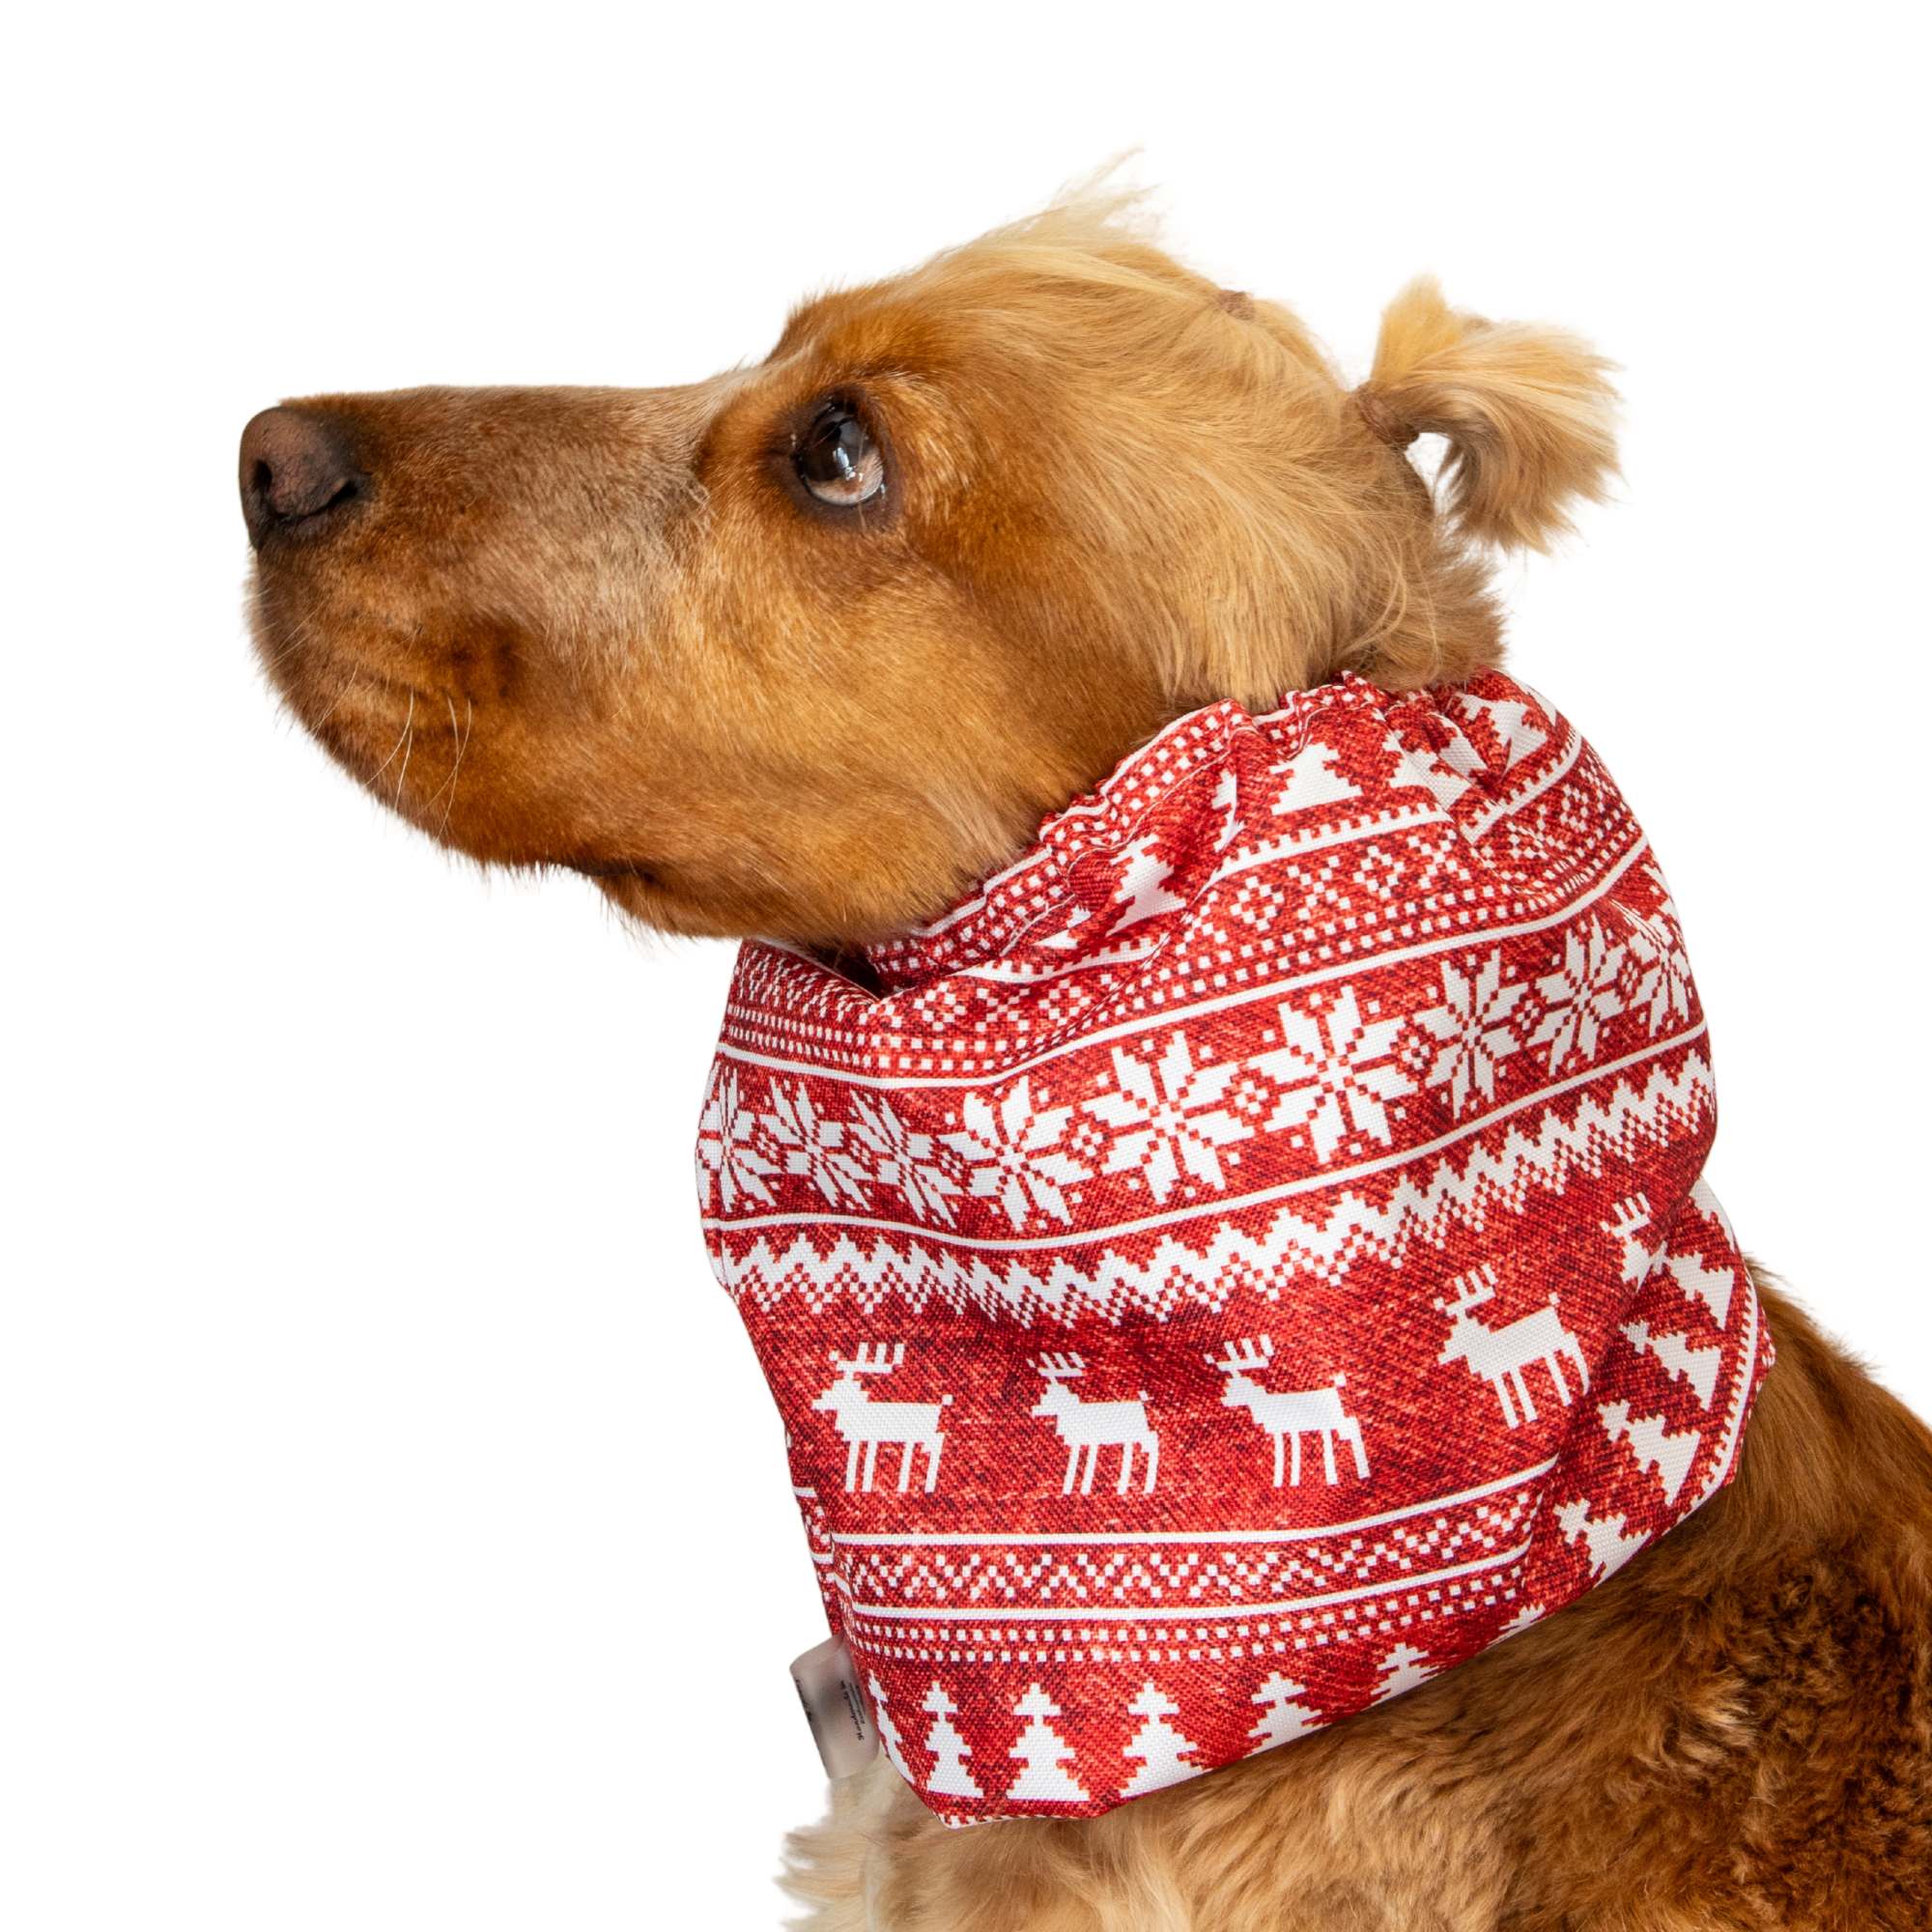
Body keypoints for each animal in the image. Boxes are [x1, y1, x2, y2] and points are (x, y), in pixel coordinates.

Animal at [811, 1343, 949, 1493]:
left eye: (838, 1390)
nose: (818, 1401)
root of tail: (940, 1404)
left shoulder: (870, 1437)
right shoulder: (859, 1438)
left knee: (937, 1441)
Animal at [1030, 1353, 1159, 1496]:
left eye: (1047, 1399)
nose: (1034, 1410)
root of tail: (1141, 1401)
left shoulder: (1088, 1441)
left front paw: (1082, 1486)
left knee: (1152, 1440)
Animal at [1206, 1336, 1370, 1486]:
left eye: (1236, 1387)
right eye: (1228, 1385)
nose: (1224, 1400)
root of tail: (1335, 1386)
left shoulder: (1284, 1429)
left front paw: (1287, 1478)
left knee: (1352, 1426)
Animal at [1435, 1265, 1590, 1429]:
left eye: (1454, 1335)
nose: (1443, 1354)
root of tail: (1552, 1306)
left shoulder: (1501, 1370)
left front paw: (1523, 1416)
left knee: (1571, 1342)